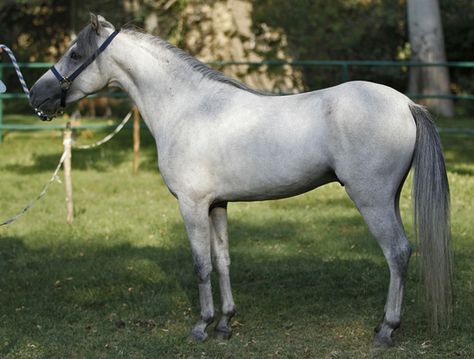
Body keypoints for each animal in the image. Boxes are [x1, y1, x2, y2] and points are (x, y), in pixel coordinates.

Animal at [29, 15, 452, 348]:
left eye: (76, 55)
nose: (36, 94)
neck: (188, 107)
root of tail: (406, 103)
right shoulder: (217, 204)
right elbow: (223, 261)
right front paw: (225, 323)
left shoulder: (192, 204)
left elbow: (200, 265)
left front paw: (201, 327)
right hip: (389, 198)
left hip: (372, 200)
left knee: (397, 253)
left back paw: (386, 329)